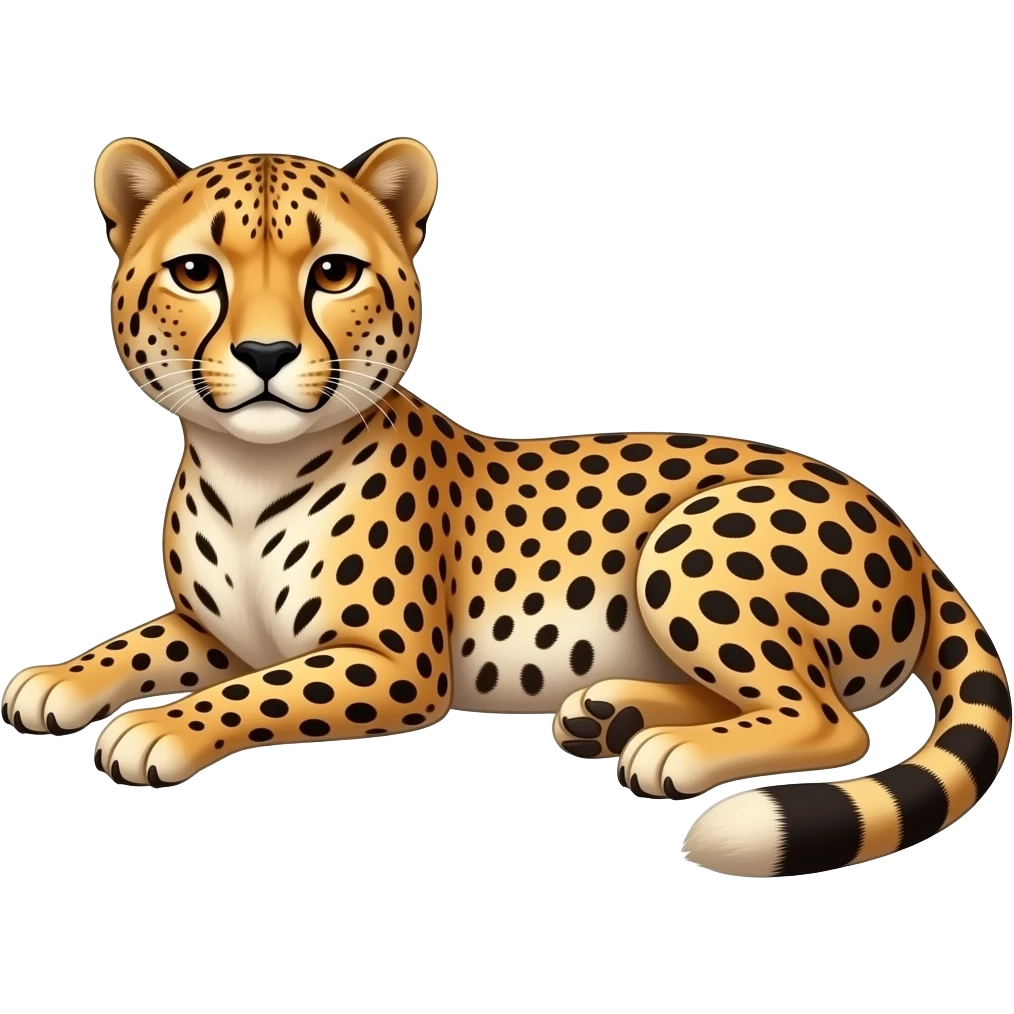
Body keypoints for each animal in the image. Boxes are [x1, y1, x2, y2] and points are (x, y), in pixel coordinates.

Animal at [4, 136, 1010, 879]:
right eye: (195, 272)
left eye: (332, 273)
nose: (263, 354)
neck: (252, 467)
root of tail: (896, 521)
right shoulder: (221, 631)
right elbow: (145, 642)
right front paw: (60, 678)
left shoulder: (395, 663)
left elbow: (261, 691)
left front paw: (159, 726)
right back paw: (610, 712)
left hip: (689, 545)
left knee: (832, 715)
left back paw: (670, 749)